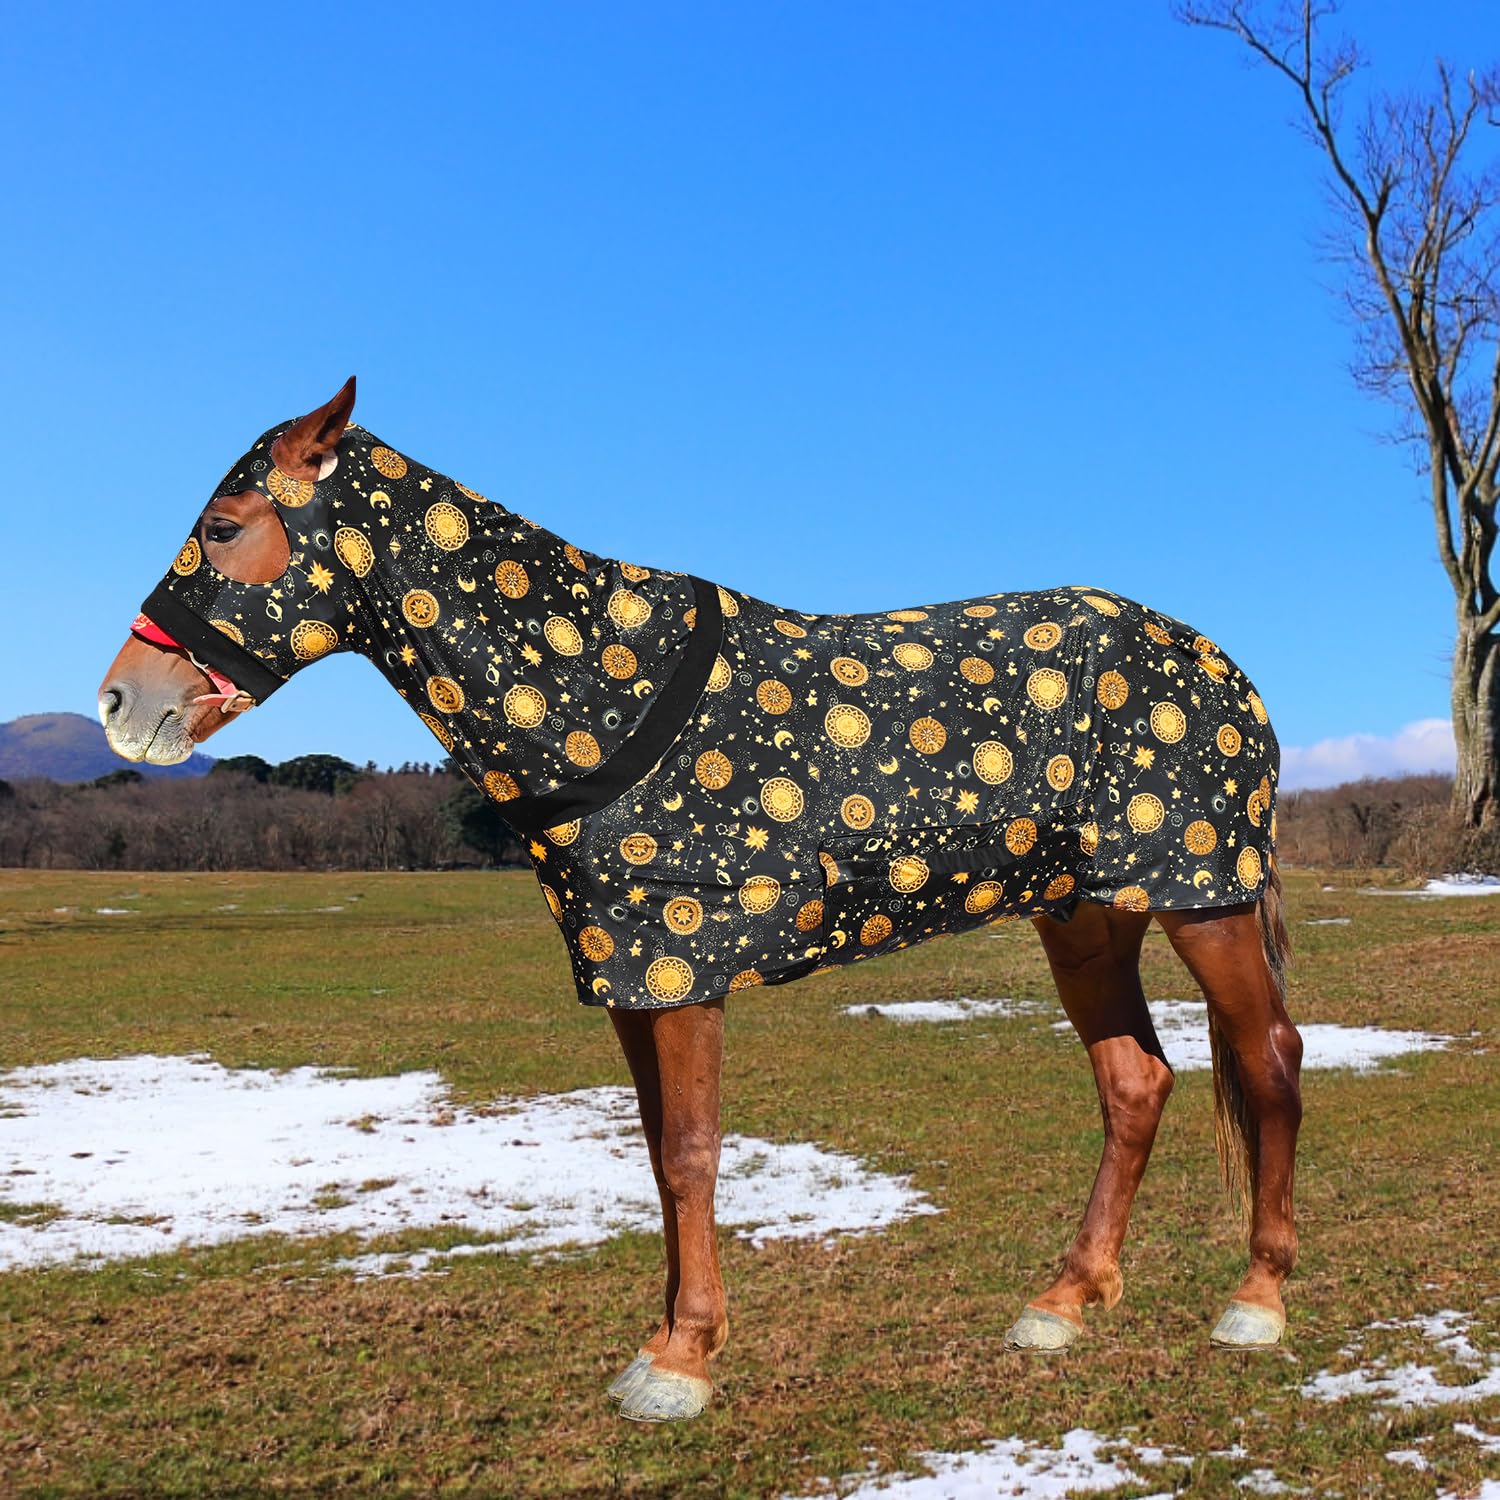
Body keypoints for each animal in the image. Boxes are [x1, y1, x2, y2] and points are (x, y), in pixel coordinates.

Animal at [98, 377, 1302, 1423]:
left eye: (222, 525)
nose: (122, 700)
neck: (601, 693)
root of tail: (1223, 668)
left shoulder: (682, 967)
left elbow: (691, 1153)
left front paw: (683, 1362)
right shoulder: (630, 979)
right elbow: (655, 1158)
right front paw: (667, 1340)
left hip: (1203, 900)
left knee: (1270, 1058)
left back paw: (1257, 1299)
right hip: (1087, 915)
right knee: (1135, 1082)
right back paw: (1064, 1300)